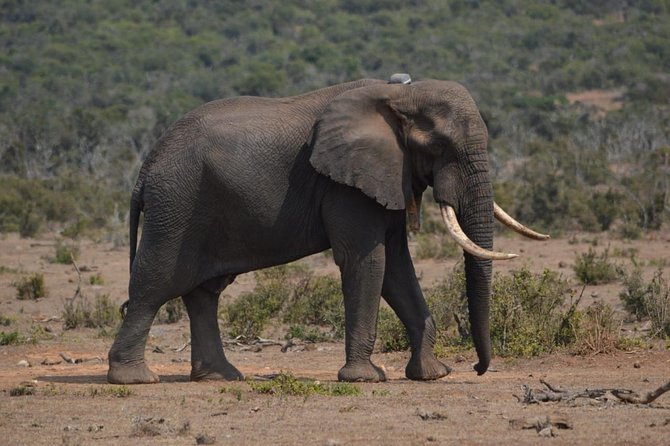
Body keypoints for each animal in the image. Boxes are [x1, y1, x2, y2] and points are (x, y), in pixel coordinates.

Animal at [107, 75, 547, 384]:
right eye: (439, 146)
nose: (476, 368)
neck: (400, 96)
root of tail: (146, 168)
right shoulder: (344, 185)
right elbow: (367, 261)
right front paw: (366, 379)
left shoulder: (385, 175)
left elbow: (397, 266)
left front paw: (432, 374)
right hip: (177, 206)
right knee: (156, 282)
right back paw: (135, 378)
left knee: (203, 292)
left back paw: (220, 377)